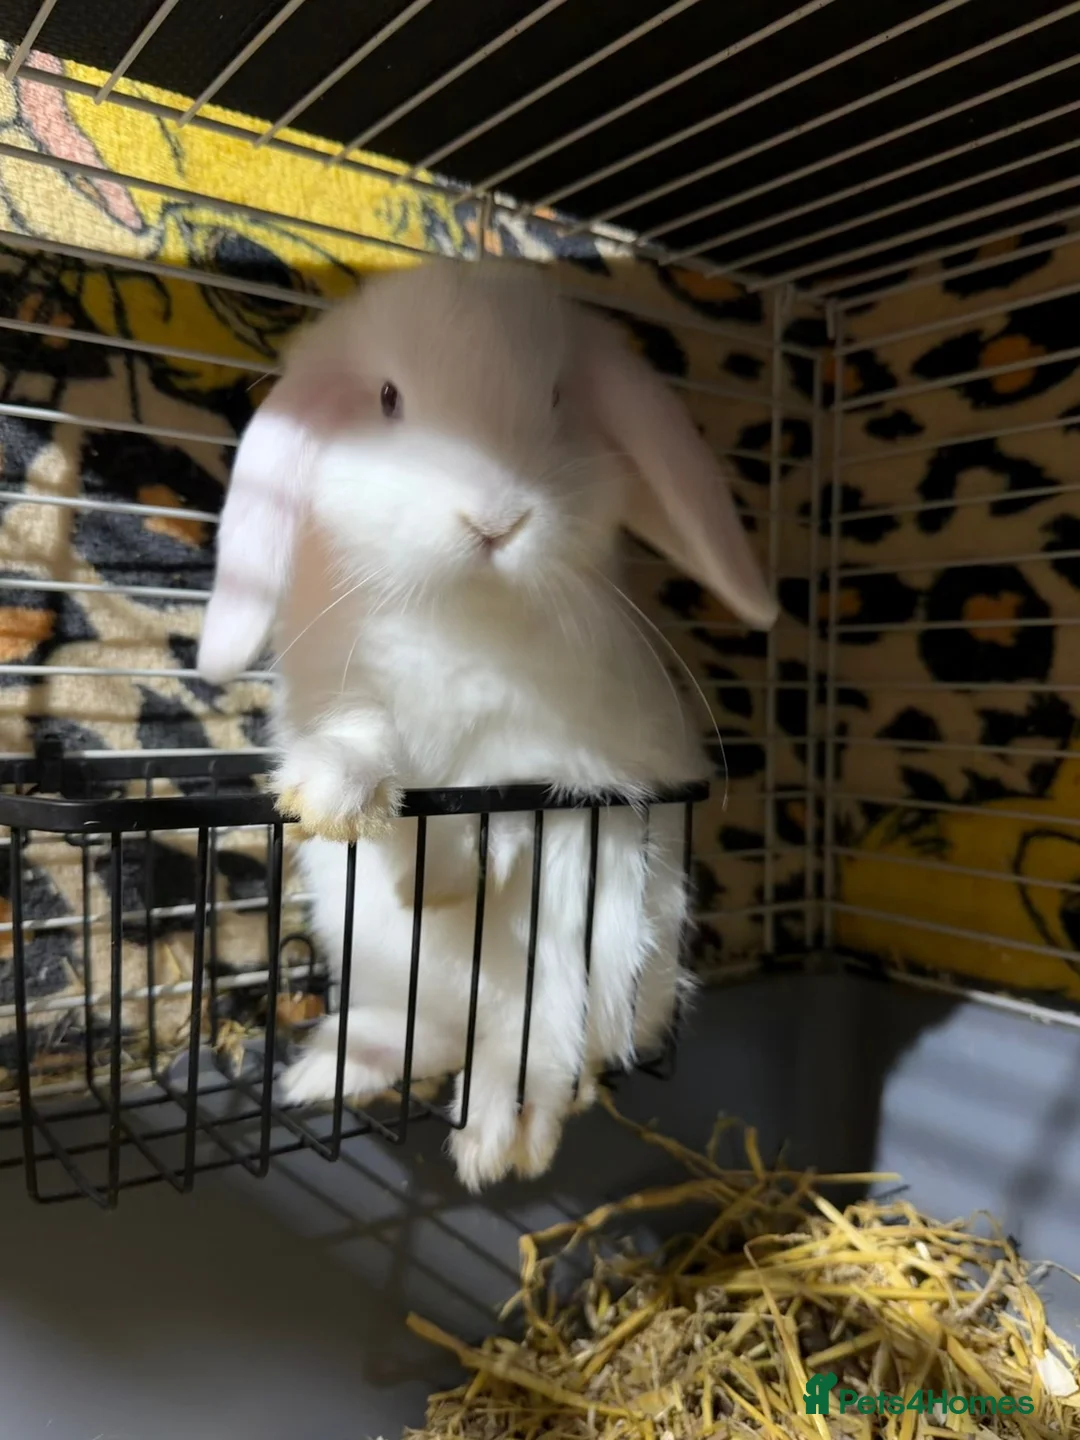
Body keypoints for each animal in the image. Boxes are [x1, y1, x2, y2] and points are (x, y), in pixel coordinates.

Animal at [197, 259, 777, 1190]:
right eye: (389, 397)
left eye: (557, 400)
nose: (495, 521)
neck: (458, 605)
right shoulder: (347, 691)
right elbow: (366, 739)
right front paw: (335, 802)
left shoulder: (554, 765)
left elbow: (496, 803)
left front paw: (443, 878)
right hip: (379, 959)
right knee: (423, 1034)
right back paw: (333, 1071)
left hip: (596, 948)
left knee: (538, 1048)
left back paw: (500, 1135)